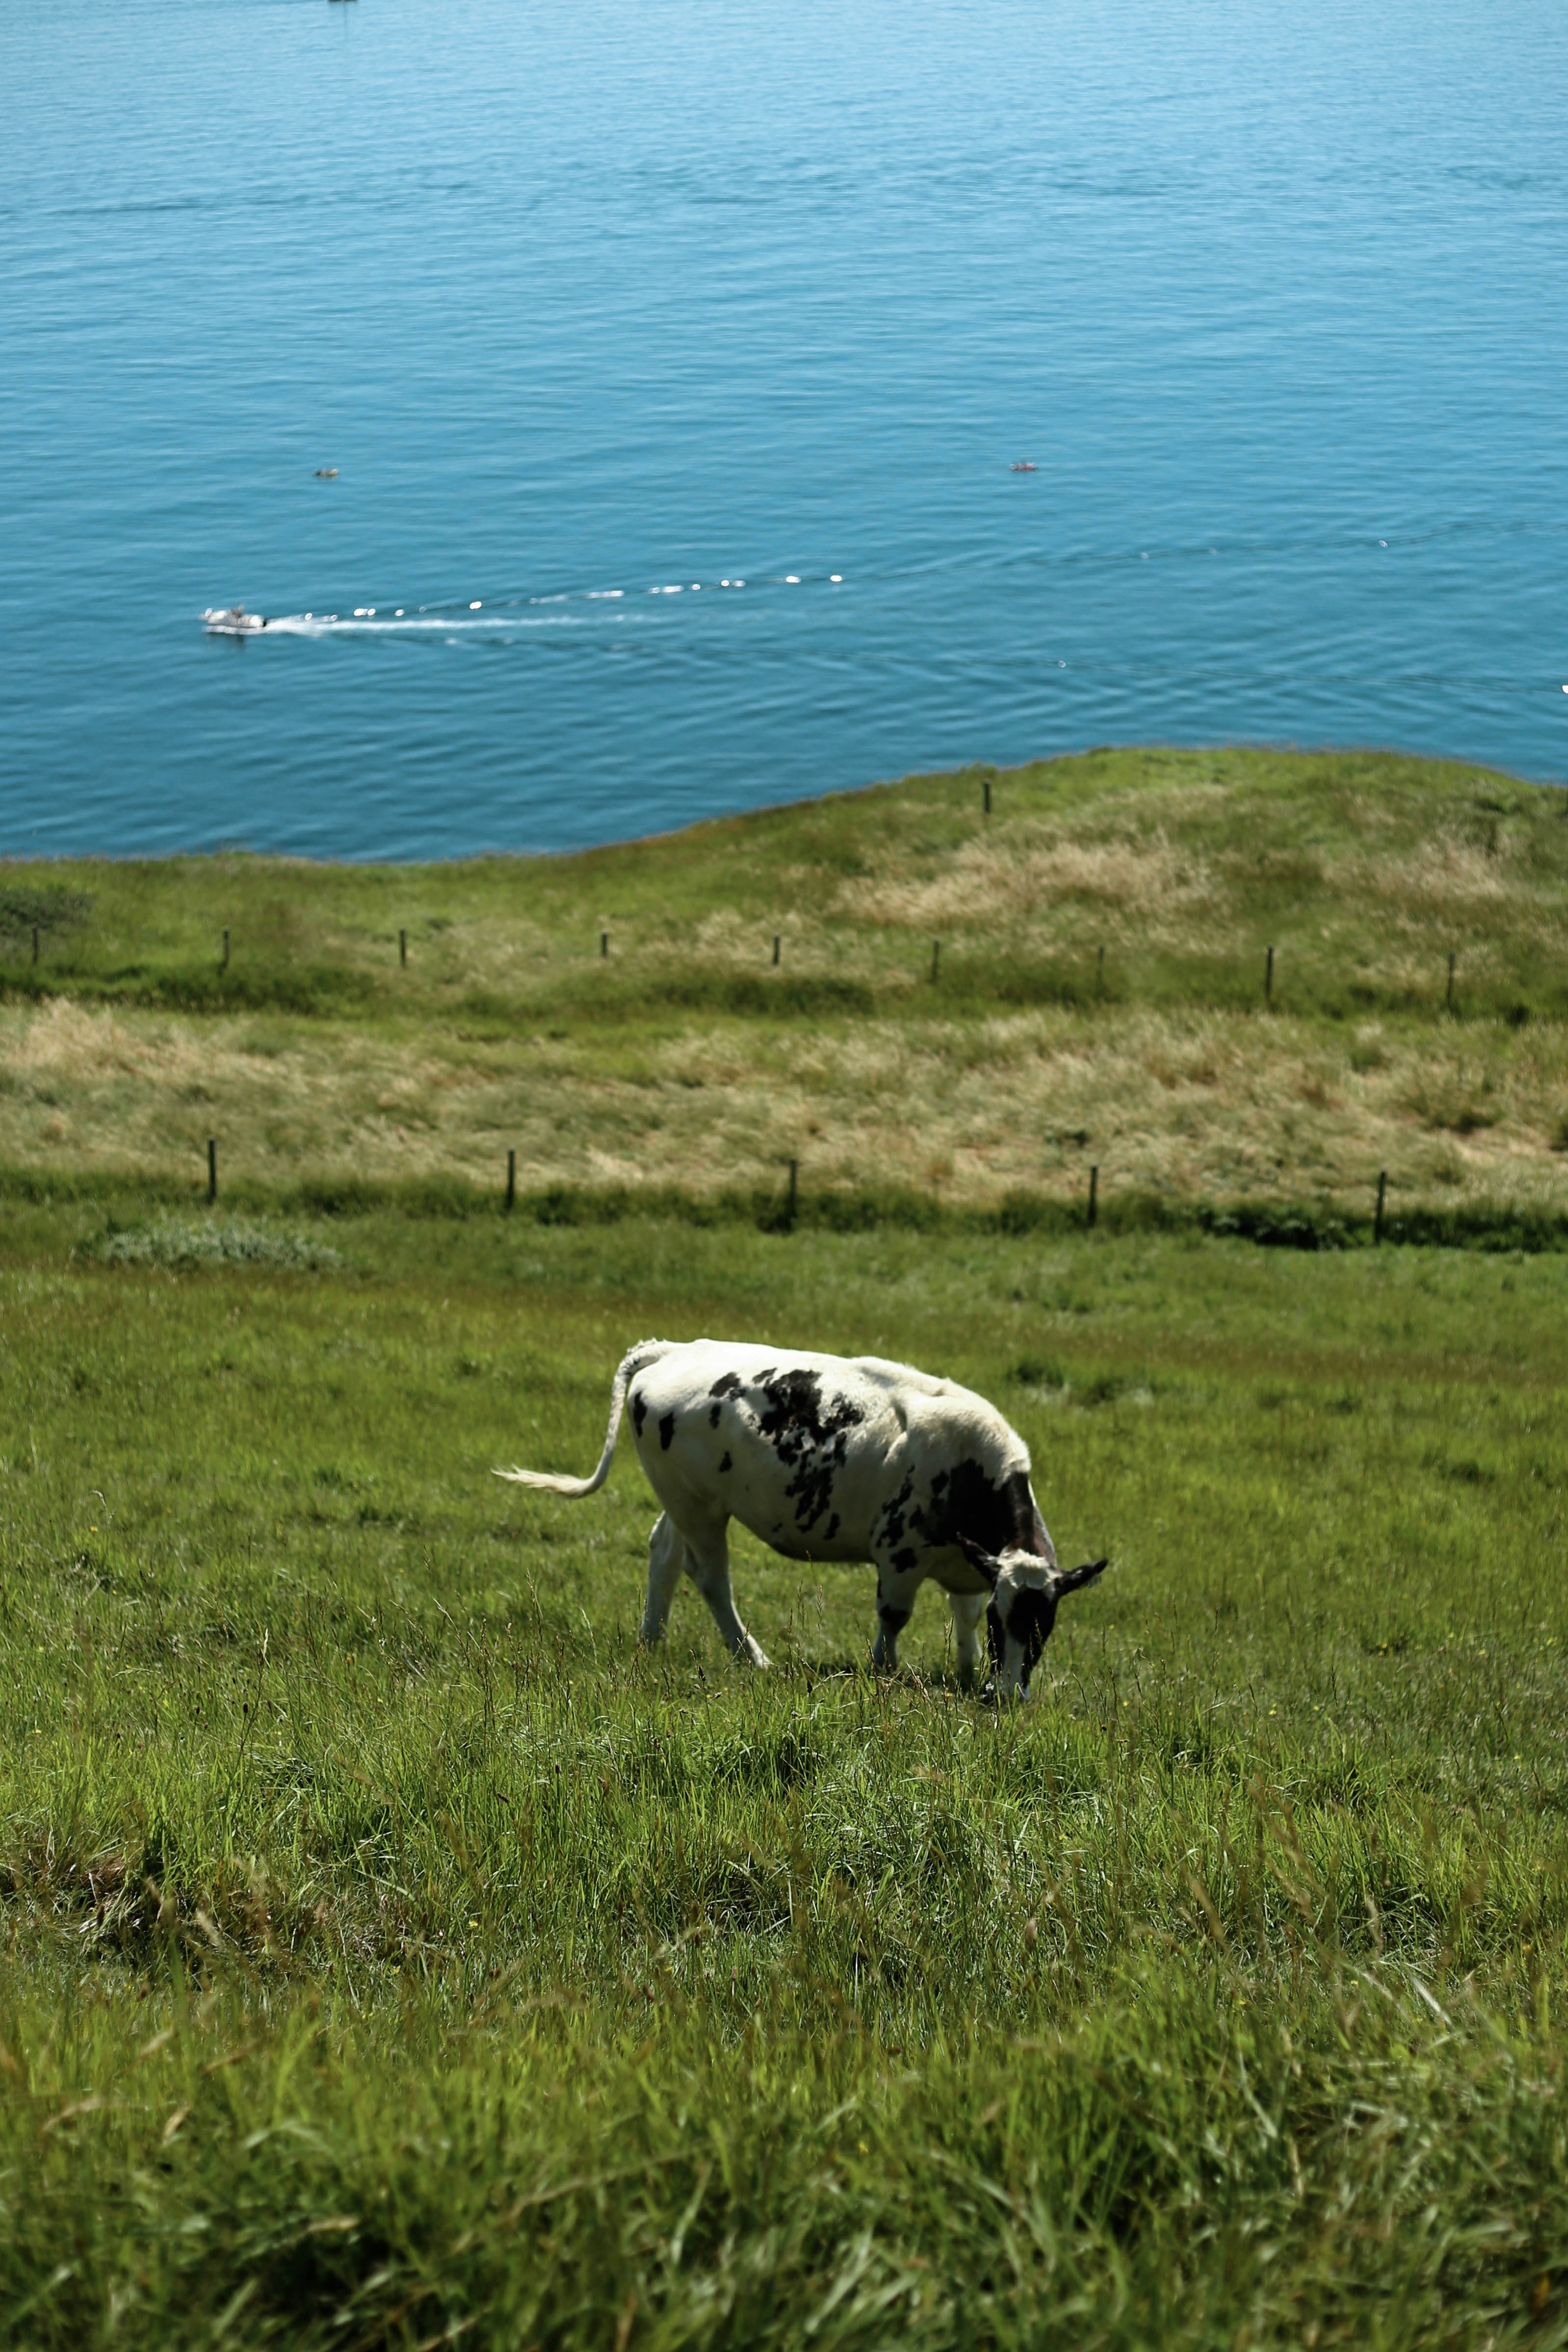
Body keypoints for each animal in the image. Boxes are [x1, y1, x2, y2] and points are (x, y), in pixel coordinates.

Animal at [496, 1338, 1107, 1699]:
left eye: (1042, 1622)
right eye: (1014, 1623)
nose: (1005, 1695)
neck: (969, 1468)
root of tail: (675, 1350)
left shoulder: (970, 1562)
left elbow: (964, 1614)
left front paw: (966, 1669)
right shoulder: (899, 1553)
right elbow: (893, 1618)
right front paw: (884, 1671)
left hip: (684, 1499)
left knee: (664, 1555)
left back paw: (653, 1640)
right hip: (699, 1506)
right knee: (710, 1576)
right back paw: (752, 1656)